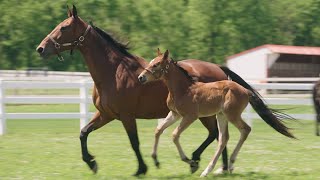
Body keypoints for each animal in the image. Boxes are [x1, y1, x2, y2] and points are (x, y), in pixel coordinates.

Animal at [36, 4, 249, 175]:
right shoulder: (106, 114)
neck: (113, 72)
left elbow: (134, 142)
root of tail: (219, 68)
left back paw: (199, 161)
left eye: (63, 27)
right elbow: (83, 132)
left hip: (206, 114)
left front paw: (141, 169)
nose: (41, 48)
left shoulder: (126, 116)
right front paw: (92, 163)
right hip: (211, 113)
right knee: (219, 136)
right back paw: (218, 167)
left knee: (216, 135)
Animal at [138, 50, 296, 176]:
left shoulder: (190, 116)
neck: (183, 89)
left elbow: (174, 135)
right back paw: (210, 170)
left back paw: (227, 165)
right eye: (151, 62)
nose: (141, 77)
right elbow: (158, 130)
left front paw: (190, 161)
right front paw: (155, 159)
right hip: (221, 116)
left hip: (231, 115)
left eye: (156, 64)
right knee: (223, 138)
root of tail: (246, 91)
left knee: (245, 129)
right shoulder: (175, 114)